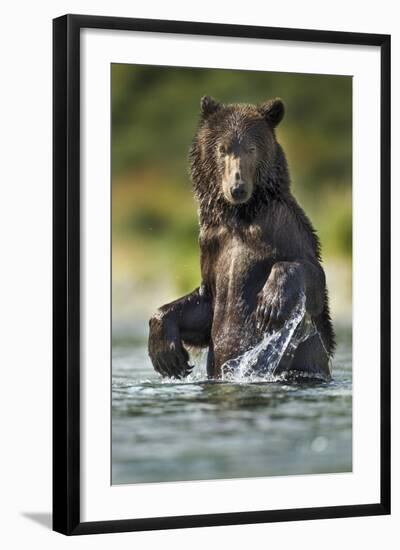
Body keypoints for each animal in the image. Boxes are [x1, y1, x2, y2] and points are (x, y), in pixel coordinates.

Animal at [147, 97, 334, 382]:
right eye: (222, 149)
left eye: (251, 148)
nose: (238, 188)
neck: (240, 217)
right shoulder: (211, 243)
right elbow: (205, 304)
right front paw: (168, 355)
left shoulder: (283, 226)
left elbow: (312, 277)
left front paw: (270, 304)